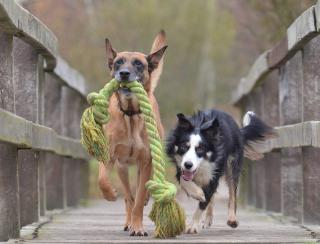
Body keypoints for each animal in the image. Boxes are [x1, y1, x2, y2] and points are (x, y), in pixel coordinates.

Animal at [97, 30, 168, 236]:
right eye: (118, 62)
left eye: (138, 63)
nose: (124, 73)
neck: (130, 114)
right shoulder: (109, 156)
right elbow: (102, 179)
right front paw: (110, 194)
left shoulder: (146, 162)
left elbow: (139, 198)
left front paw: (138, 227)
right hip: (122, 168)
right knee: (129, 196)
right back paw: (127, 220)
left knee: (138, 194)